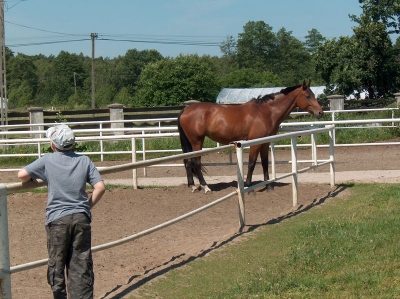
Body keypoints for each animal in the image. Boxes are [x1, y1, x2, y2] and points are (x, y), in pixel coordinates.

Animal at [178, 81, 324, 193]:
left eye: (313, 95)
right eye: (307, 96)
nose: (320, 112)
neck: (266, 112)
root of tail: (186, 110)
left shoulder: (265, 143)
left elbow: (265, 163)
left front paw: (269, 186)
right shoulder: (255, 143)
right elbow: (252, 164)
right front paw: (248, 186)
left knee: (188, 162)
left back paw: (193, 186)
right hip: (197, 141)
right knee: (196, 163)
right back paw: (206, 187)